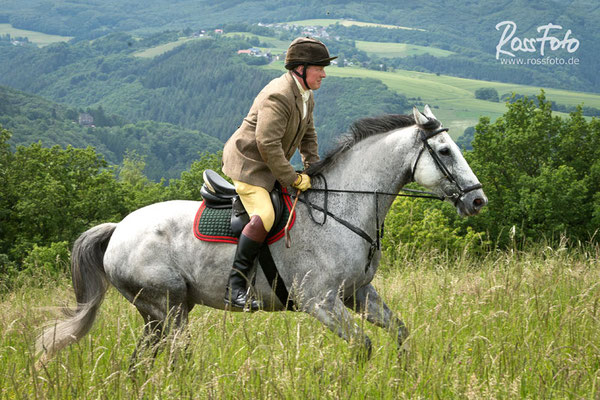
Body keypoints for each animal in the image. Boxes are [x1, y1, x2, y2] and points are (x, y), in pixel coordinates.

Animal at [36, 105, 488, 362]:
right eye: (444, 151)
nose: (478, 200)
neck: (342, 210)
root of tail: (117, 230)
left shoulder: (358, 295)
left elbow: (400, 333)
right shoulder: (320, 302)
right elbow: (362, 346)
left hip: (162, 313)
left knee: (143, 359)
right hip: (166, 307)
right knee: (173, 356)